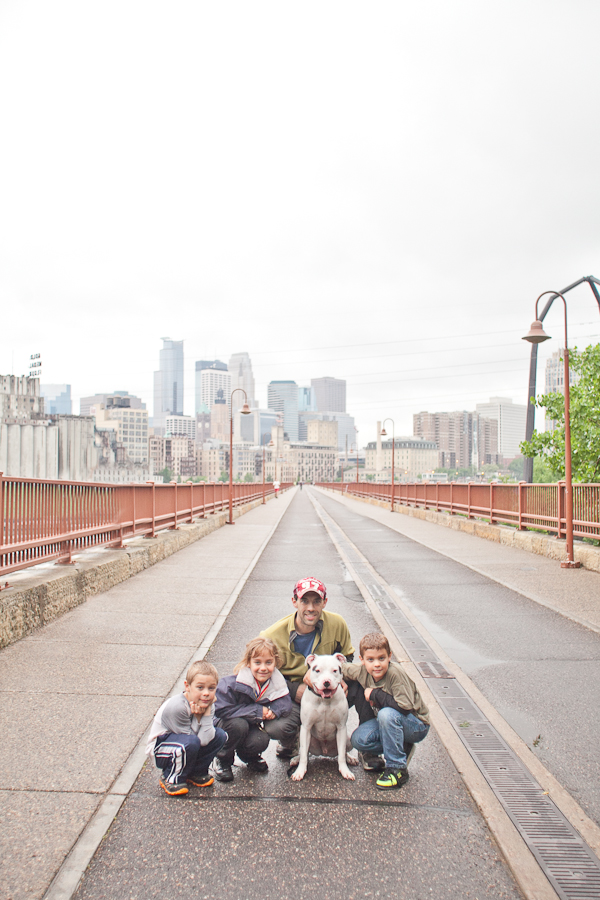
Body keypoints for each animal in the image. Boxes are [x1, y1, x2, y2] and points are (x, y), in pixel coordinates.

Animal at [290, 653, 358, 781]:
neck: (324, 700)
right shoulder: (306, 727)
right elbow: (304, 756)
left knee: (343, 751)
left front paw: (345, 770)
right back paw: (296, 759)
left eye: (335, 670)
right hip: (302, 736)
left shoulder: (341, 727)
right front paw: (300, 771)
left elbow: (341, 754)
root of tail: (324, 752)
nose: (326, 682)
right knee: (304, 752)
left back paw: (350, 758)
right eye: (317, 670)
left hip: (348, 739)